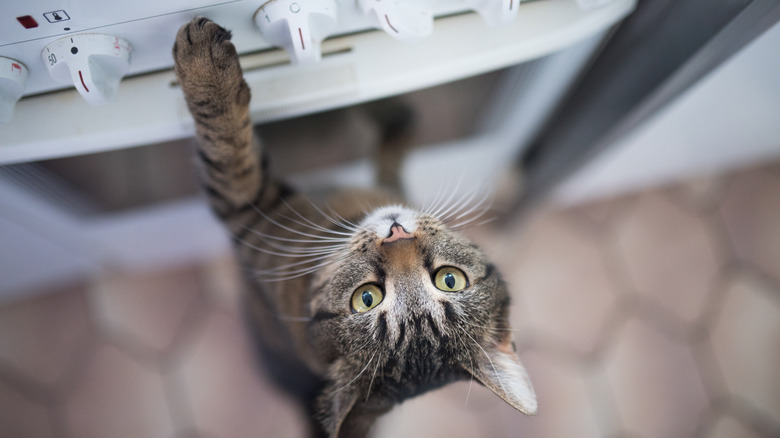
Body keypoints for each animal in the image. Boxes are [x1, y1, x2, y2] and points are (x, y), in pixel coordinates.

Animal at [172, 17, 536, 438]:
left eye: (366, 298)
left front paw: (204, 68)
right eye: (450, 279)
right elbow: (400, 131)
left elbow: (226, 146)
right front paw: (382, 92)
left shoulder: (248, 208)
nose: (397, 233)